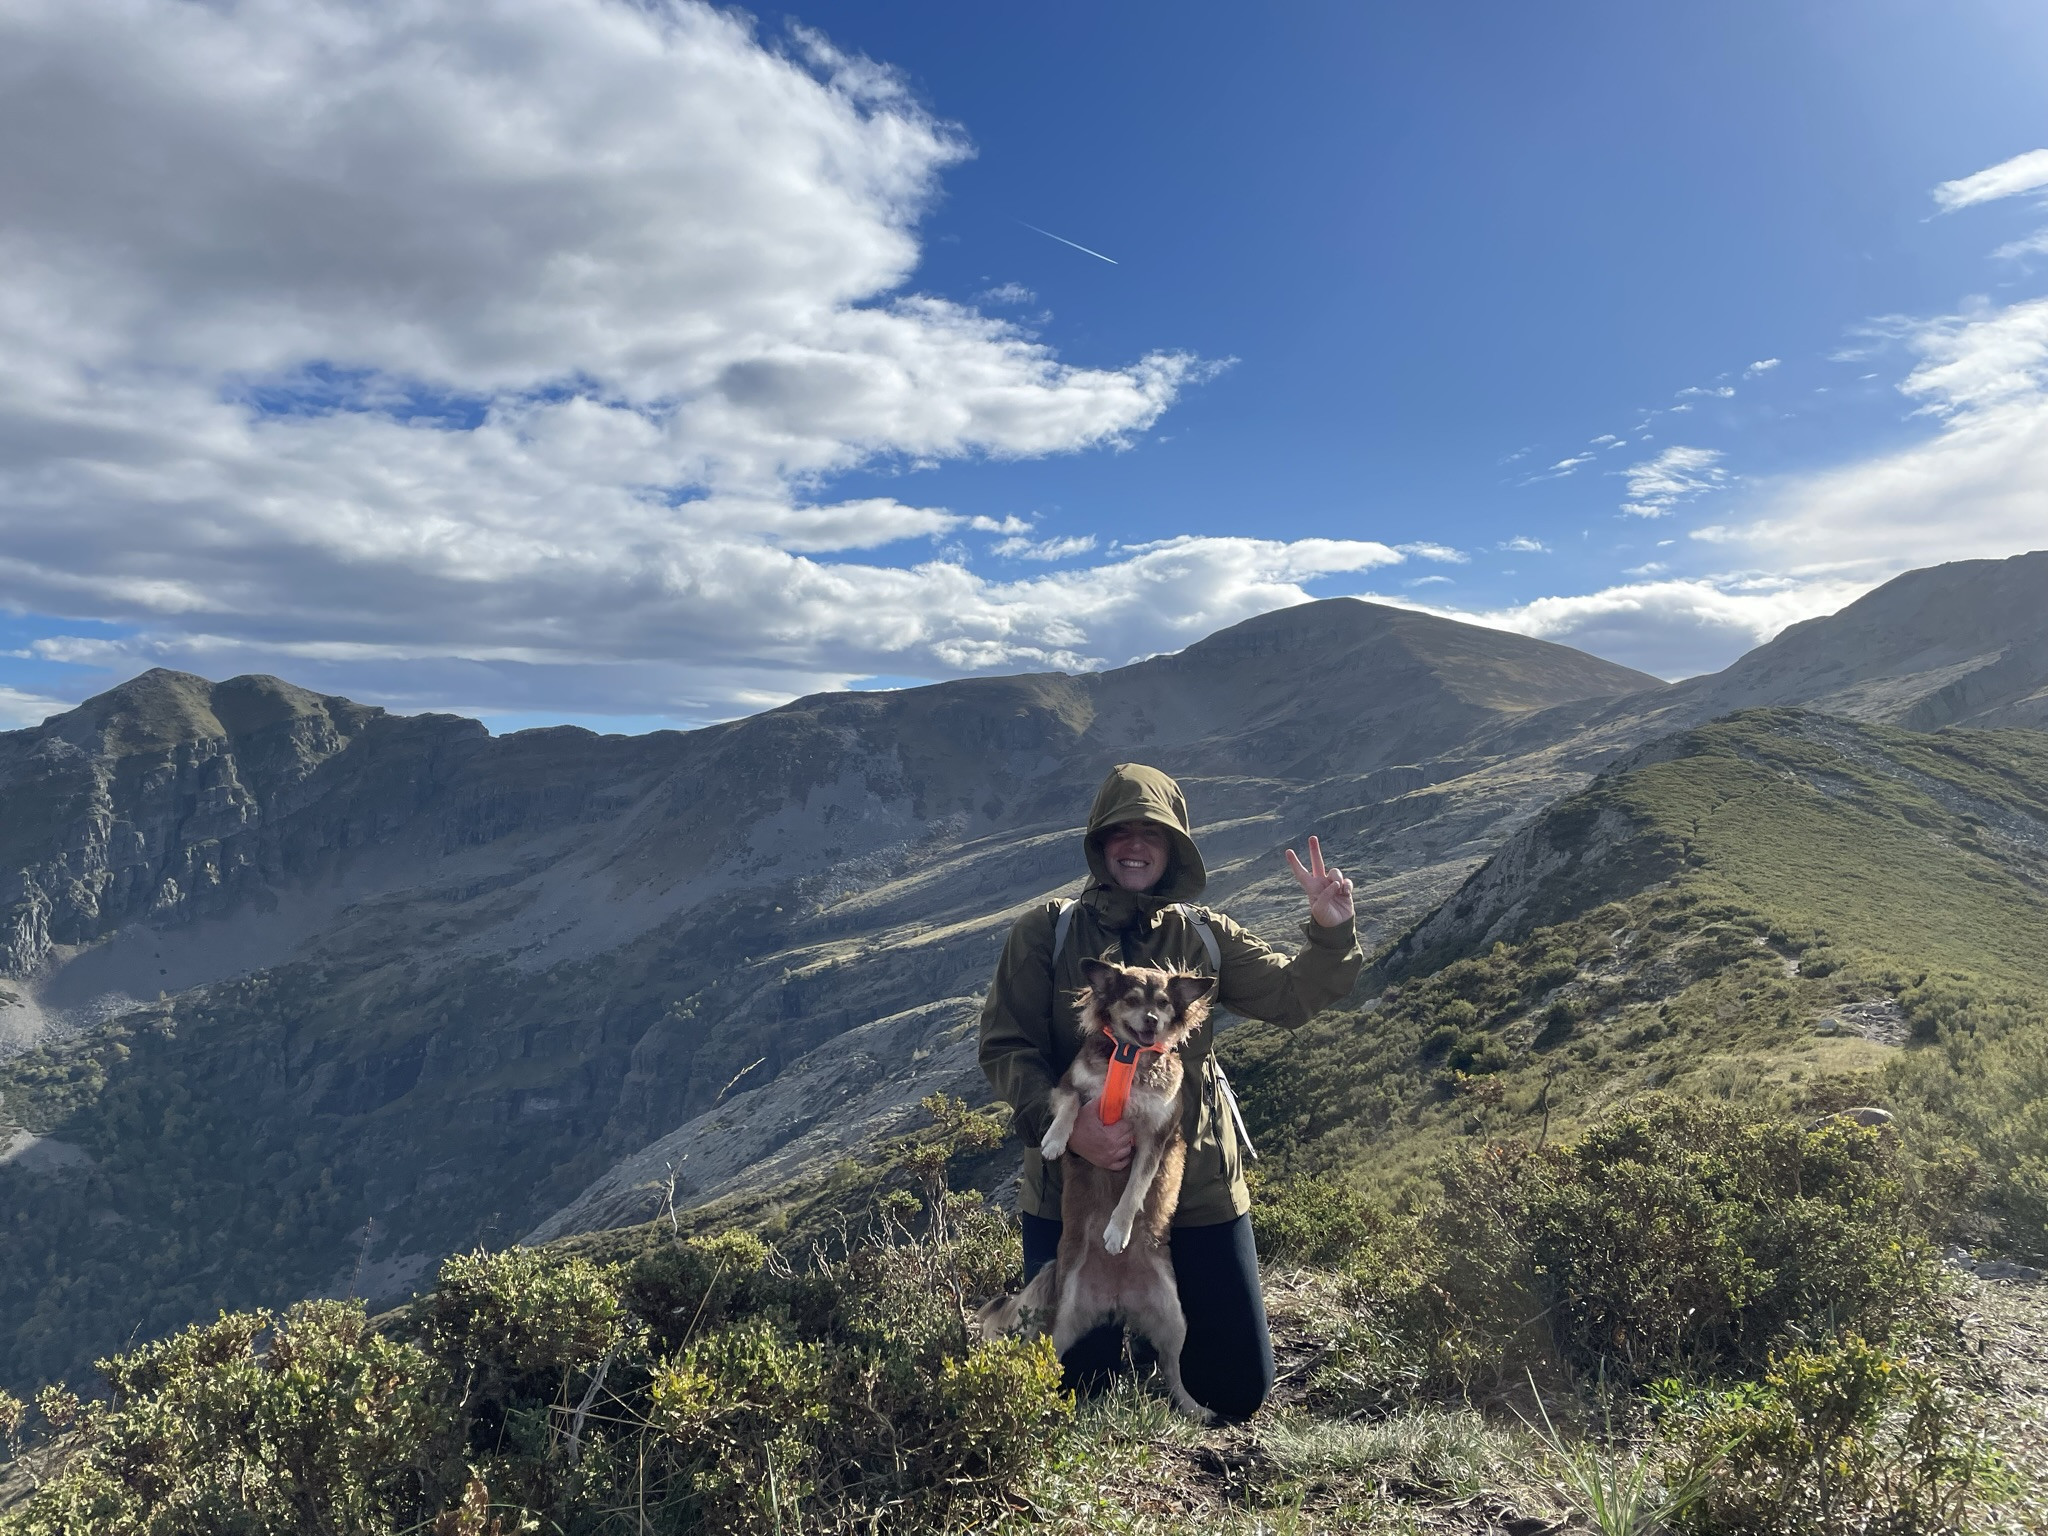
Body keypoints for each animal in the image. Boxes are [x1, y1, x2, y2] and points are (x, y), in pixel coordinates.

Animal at [974, 962, 1212, 1417]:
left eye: (1163, 1004)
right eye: (1132, 999)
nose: (1152, 1022)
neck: (1129, 1060)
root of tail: (1115, 1299)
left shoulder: (1153, 1139)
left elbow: (1134, 1189)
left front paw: (1117, 1231)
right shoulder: (1068, 1084)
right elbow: (1070, 1107)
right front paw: (1053, 1140)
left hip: (1176, 1318)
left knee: (1172, 1368)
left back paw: (1195, 1407)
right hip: (1060, 1322)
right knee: (1047, 1364)